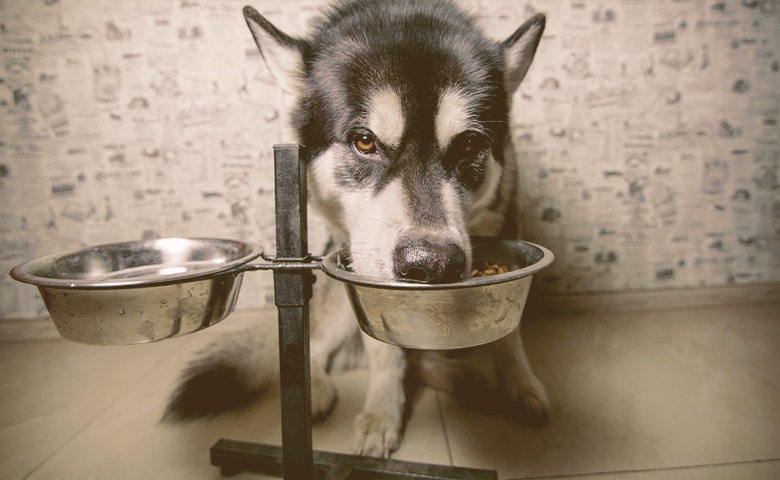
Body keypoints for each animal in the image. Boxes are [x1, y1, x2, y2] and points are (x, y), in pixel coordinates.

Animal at [161, 0, 544, 458]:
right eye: (364, 142)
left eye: (469, 144)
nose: (433, 265)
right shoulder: (365, 276)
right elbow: (383, 352)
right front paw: (381, 416)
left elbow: (510, 335)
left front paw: (520, 384)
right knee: (311, 344)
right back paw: (317, 390)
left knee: (418, 357)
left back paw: (467, 382)